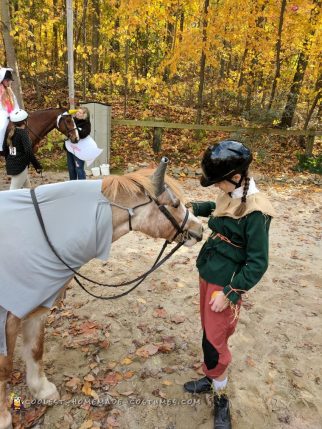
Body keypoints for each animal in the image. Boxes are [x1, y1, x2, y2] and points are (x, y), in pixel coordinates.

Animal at [0, 158, 203, 428]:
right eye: (176, 204)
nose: (200, 230)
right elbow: (4, 368)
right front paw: (3, 418)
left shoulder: (36, 309)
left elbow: (35, 349)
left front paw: (42, 390)